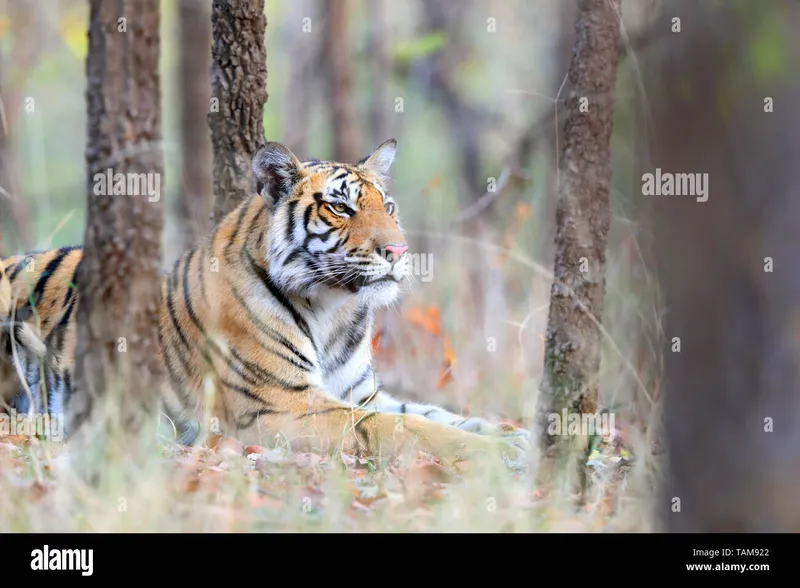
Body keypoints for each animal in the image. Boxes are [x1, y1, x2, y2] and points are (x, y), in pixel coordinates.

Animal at [0, 140, 532, 466]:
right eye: (341, 207)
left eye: (388, 207)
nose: (399, 252)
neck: (335, 311)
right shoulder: (284, 407)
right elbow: (406, 428)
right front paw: (495, 453)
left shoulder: (361, 393)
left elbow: (434, 414)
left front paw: (513, 434)